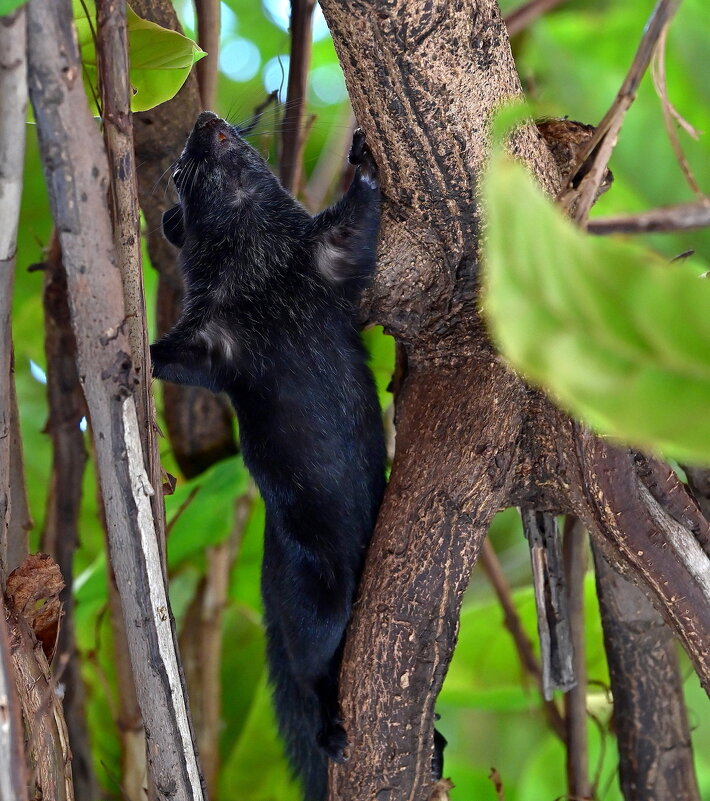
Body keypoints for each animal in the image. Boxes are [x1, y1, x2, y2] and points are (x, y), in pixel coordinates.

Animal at [149, 112, 386, 800]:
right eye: (181, 170)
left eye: (225, 133)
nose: (208, 120)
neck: (260, 273)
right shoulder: (214, 343)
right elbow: (169, 357)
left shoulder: (329, 256)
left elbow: (360, 211)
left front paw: (364, 155)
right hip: (321, 598)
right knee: (309, 674)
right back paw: (331, 729)